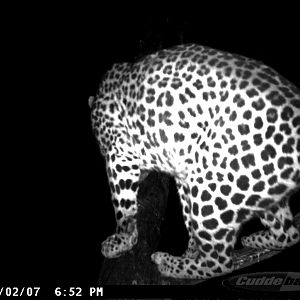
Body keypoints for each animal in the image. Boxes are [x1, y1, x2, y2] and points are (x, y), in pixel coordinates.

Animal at [89, 42, 300, 278]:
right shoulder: (182, 172)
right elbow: (187, 217)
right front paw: (190, 250)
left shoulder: (119, 154)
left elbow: (122, 208)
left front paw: (120, 241)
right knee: (288, 234)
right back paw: (254, 239)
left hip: (211, 183)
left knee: (219, 262)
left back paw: (170, 263)